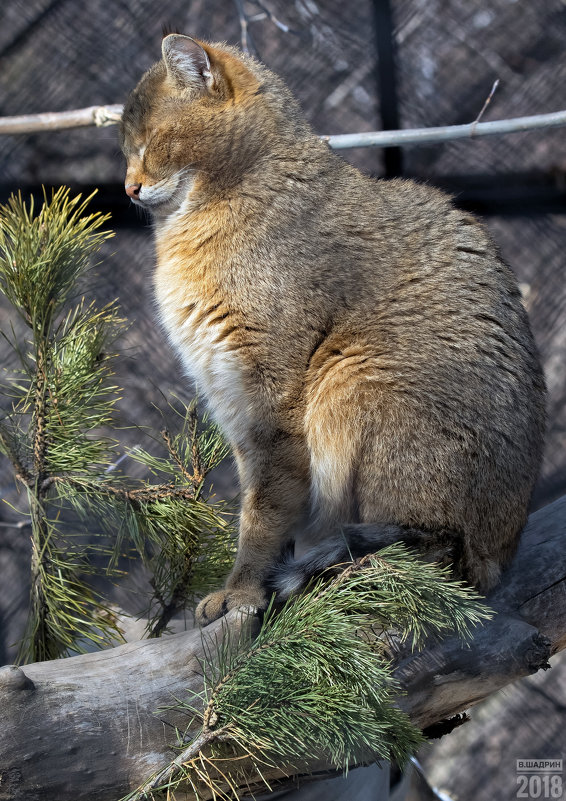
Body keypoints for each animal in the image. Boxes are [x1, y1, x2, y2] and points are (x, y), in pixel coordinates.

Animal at [122, 36, 548, 624]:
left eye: (156, 141)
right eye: (125, 147)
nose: (127, 187)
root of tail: (494, 560)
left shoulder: (271, 403)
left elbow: (264, 514)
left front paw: (242, 593)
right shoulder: (236, 407)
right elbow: (259, 506)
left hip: (348, 380)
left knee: (415, 554)